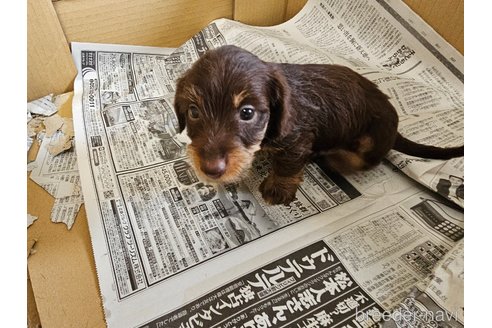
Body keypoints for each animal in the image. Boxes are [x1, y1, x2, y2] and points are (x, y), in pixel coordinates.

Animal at [174, 45, 466, 205]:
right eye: (193, 112)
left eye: (247, 113)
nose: (211, 169)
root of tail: (395, 125)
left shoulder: (297, 141)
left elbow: (287, 166)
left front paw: (278, 188)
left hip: (370, 139)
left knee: (365, 161)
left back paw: (331, 157)